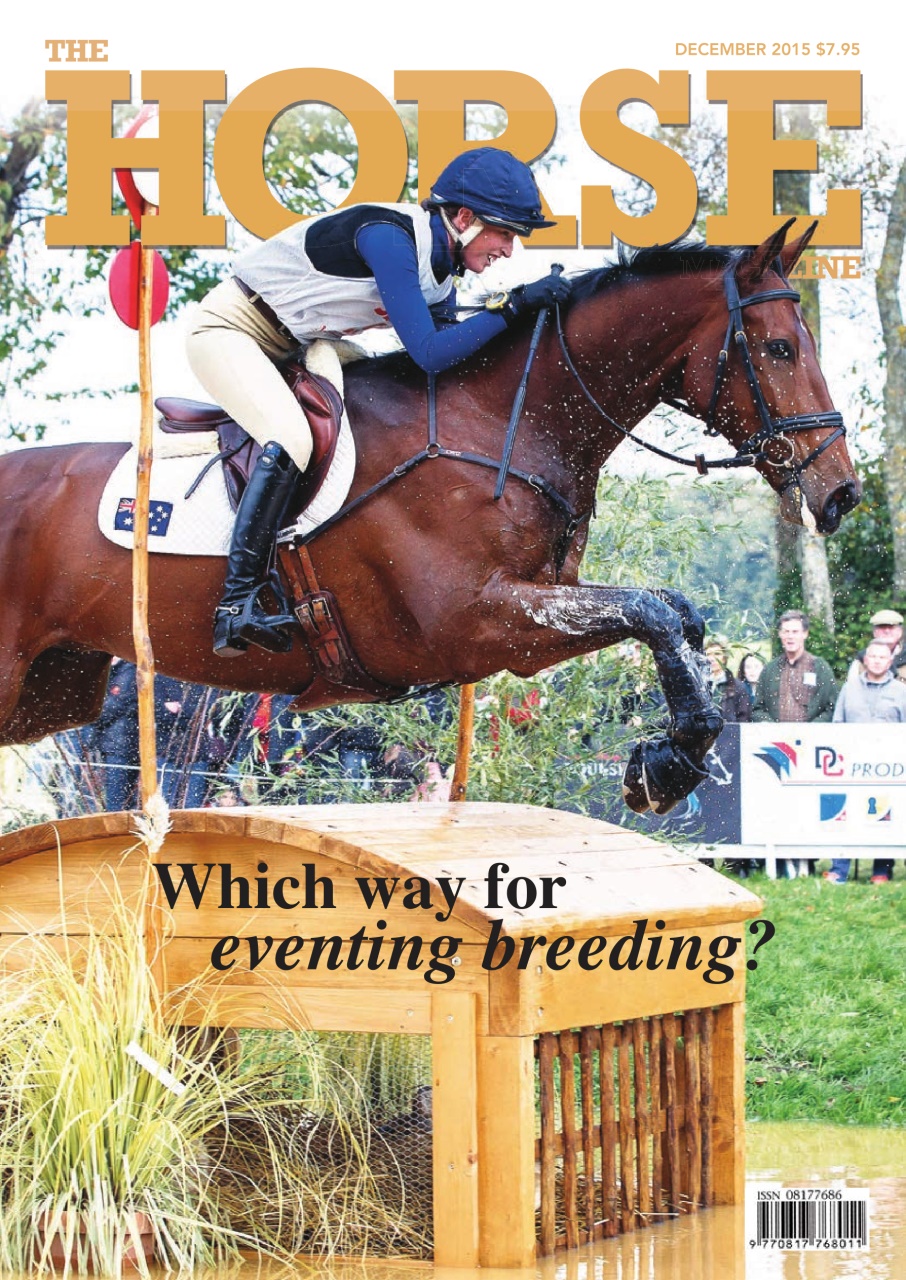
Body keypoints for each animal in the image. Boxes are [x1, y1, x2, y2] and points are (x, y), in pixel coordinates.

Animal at [0, 220, 860, 815]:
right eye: (781, 349)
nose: (842, 492)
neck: (501, 422)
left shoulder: (531, 614)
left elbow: (674, 614)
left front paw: (664, 757)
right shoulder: (472, 621)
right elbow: (650, 611)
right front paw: (668, 765)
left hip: (53, 690)